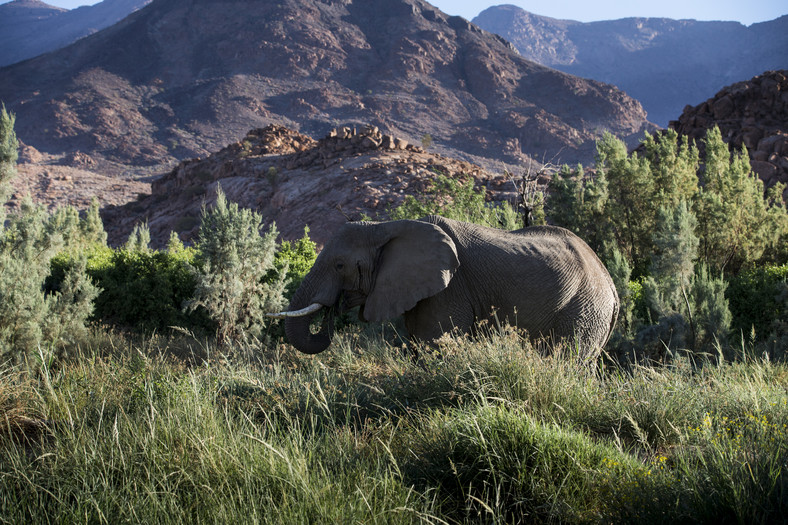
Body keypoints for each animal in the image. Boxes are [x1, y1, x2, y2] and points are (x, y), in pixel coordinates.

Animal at [270, 215, 620, 358]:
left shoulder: (449, 290)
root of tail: (613, 290)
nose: (333, 308)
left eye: (340, 266)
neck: (385, 226)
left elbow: (434, 345)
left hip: (584, 309)